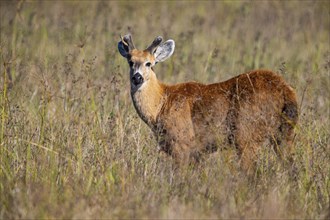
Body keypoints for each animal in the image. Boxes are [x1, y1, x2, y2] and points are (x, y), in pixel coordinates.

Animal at [117, 34, 298, 170]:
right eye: (130, 62)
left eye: (149, 63)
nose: (137, 77)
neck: (161, 105)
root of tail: (286, 90)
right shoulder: (197, 152)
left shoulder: (182, 143)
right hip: (284, 133)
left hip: (246, 134)